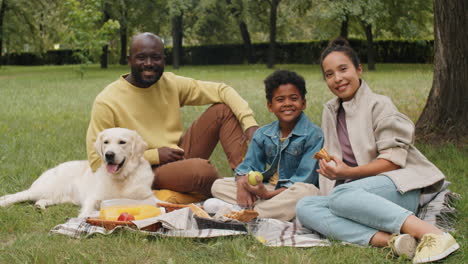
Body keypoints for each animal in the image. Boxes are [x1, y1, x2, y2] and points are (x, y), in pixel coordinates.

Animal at [0, 127, 155, 217]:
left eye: (122, 142)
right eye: (106, 142)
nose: (109, 155)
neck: (121, 178)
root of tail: (54, 168)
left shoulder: (148, 197)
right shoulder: (93, 197)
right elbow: (86, 212)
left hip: (56, 196)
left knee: (40, 200)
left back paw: (39, 206)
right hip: (43, 189)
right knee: (14, 196)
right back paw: (4, 203)